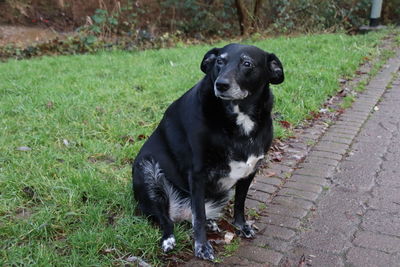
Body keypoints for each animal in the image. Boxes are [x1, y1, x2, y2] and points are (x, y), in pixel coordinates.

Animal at [133, 44, 282, 262]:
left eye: (247, 63)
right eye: (220, 61)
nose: (221, 85)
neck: (238, 116)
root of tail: (179, 210)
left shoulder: (250, 171)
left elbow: (240, 203)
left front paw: (241, 226)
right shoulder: (197, 174)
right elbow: (199, 216)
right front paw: (202, 246)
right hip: (148, 172)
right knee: (167, 218)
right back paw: (169, 238)